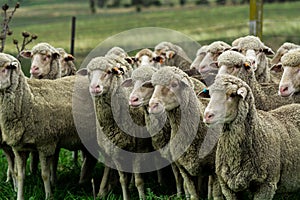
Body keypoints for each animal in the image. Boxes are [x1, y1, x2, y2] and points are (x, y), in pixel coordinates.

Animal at [0, 52, 95, 199]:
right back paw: (83, 181)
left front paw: (49, 195)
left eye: (5, 68)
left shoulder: (45, 145)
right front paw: (19, 196)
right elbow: (20, 176)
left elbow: (45, 174)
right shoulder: (19, 148)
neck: (28, 101)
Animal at [148, 67, 223, 200]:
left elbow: (217, 195)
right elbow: (194, 196)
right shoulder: (185, 171)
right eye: (154, 86)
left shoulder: (214, 169)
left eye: (174, 84)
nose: (152, 105)